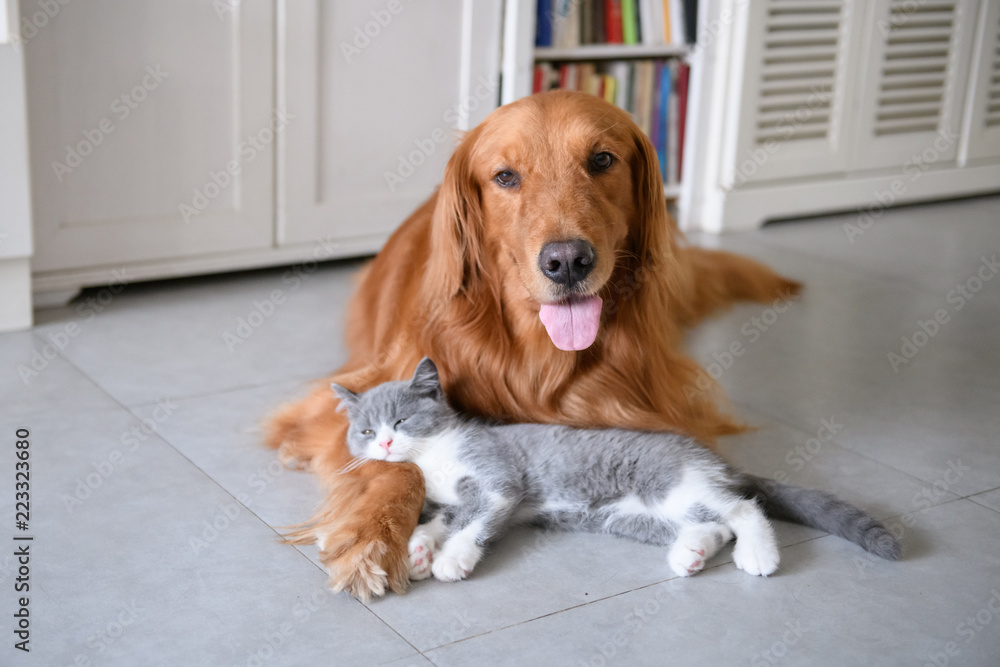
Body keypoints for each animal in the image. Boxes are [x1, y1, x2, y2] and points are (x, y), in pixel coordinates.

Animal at [332, 360, 904, 584]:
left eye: (401, 420)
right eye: (365, 430)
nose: (384, 443)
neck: (435, 461)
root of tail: (712, 460)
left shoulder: (496, 482)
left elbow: (475, 520)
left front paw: (451, 559)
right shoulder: (451, 499)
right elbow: (442, 518)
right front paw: (420, 549)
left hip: (671, 482)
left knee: (744, 507)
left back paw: (758, 555)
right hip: (627, 517)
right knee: (712, 524)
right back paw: (691, 554)